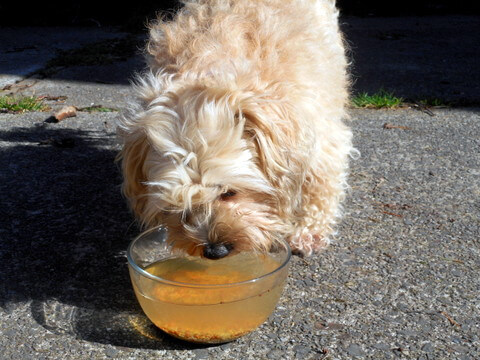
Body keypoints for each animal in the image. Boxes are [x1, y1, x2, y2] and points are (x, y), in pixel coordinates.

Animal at [118, 0, 354, 258]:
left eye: (229, 192)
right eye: (179, 204)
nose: (215, 250)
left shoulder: (320, 135)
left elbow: (320, 185)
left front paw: (309, 231)